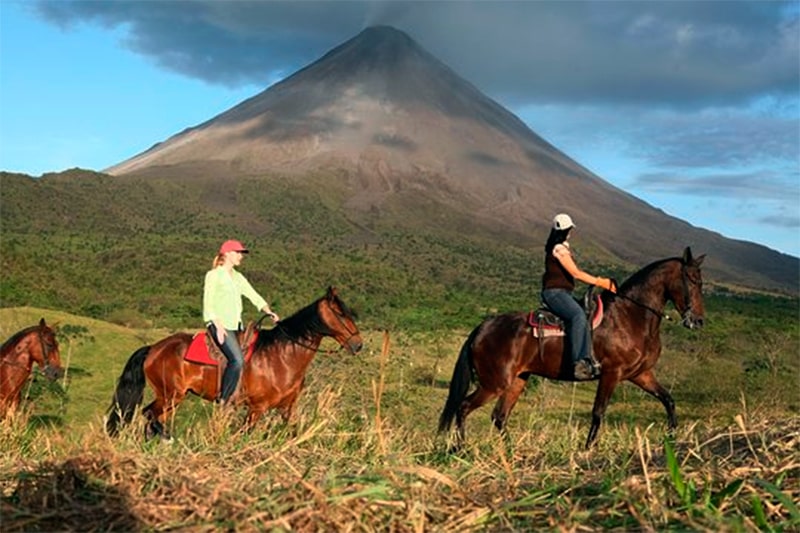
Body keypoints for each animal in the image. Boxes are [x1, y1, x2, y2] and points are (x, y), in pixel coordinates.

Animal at [104, 286, 360, 436]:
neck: (281, 357)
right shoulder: (257, 408)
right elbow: (245, 435)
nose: (358, 344)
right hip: (170, 395)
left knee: (153, 419)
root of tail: (154, 348)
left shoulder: (287, 408)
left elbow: (293, 433)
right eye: (340, 313)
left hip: (173, 398)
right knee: (149, 415)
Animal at [438, 247, 708, 446]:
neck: (631, 315)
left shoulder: (641, 374)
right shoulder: (611, 373)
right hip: (495, 383)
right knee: (464, 408)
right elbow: (598, 413)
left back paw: (511, 451)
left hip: (517, 380)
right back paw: (460, 449)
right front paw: (588, 450)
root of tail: (483, 327)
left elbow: (668, 400)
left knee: (499, 416)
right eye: (693, 280)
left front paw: (672, 438)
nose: (698, 321)